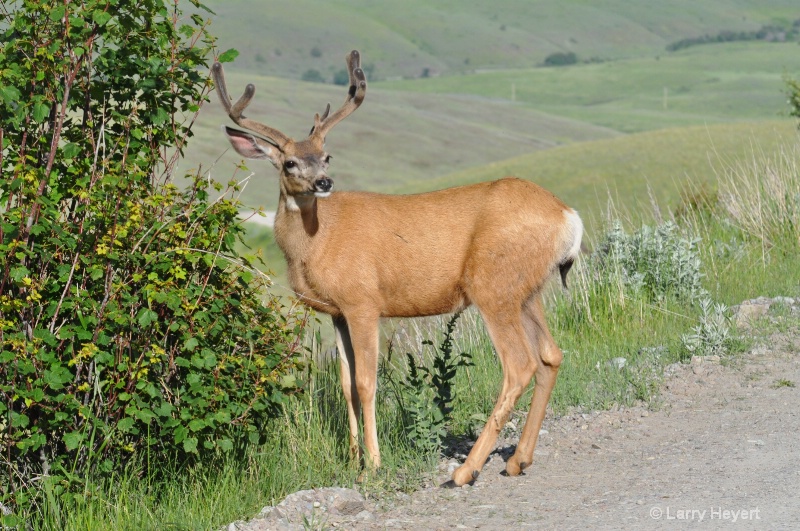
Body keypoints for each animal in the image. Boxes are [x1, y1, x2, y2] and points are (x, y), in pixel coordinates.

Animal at [212, 52, 580, 488]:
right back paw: (517, 460)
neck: (318, 241)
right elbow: (346, 383)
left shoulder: (363, 301)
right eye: (289, 162)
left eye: (327, 156)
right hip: (527, 291)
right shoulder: (337, 312)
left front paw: (372, 463)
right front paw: (352, 458)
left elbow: (367, 382)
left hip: (493, 285)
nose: (324, 182)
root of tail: (567, 216)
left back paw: (466, 470)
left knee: (520, 365)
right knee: (550, 355)